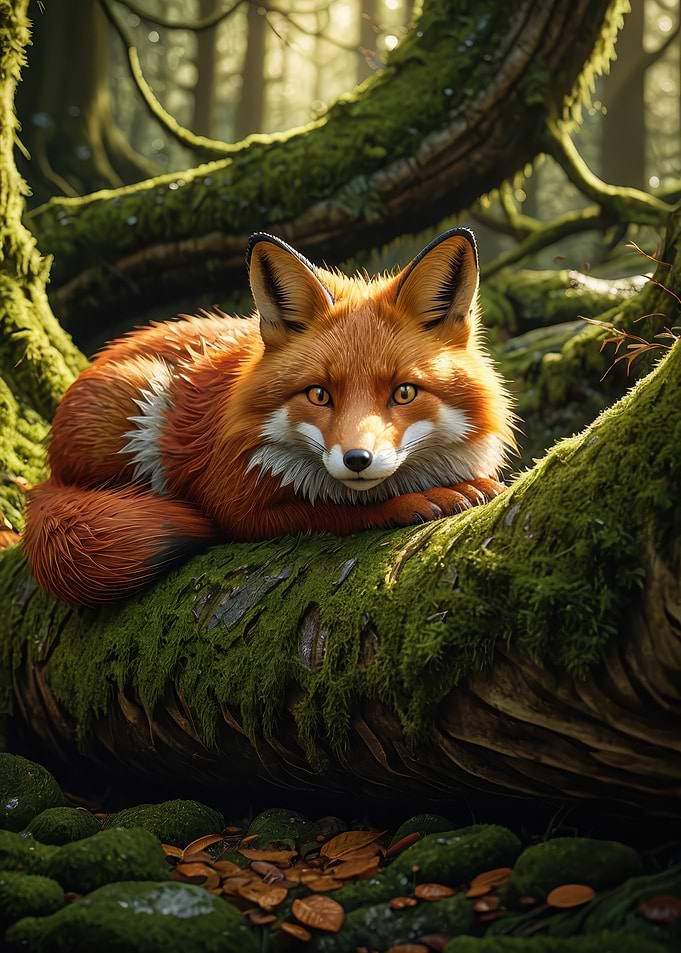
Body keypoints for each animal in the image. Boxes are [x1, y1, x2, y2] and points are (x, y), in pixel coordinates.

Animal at [20, 227, 515, 605]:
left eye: (404, 392)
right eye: (319, 394)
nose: (357, 460)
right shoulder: (236, 504)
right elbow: (337, 510)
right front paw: (419, 500)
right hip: (143, 408)